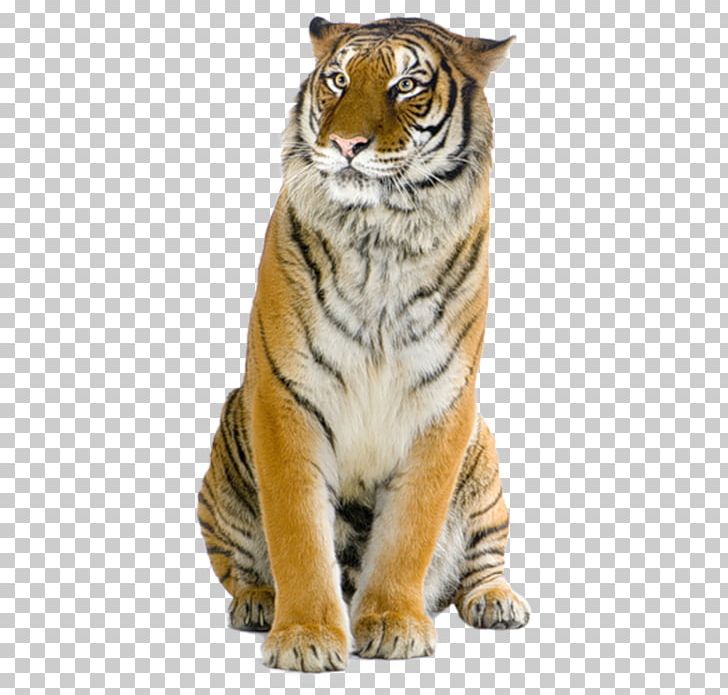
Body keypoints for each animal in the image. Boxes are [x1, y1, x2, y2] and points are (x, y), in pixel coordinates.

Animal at [197, 16, 529, 672]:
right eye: (338, 81)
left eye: (406, 85)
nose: (347, 144)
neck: (381, 233)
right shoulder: (286, 399)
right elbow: (297, 533)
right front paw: (304, 637)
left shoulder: (442, 405)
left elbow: (410, 531)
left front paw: (394, 625)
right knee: (239, 565)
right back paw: (257, 602)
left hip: (484, 466)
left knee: (483, 560)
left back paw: (497, 601)